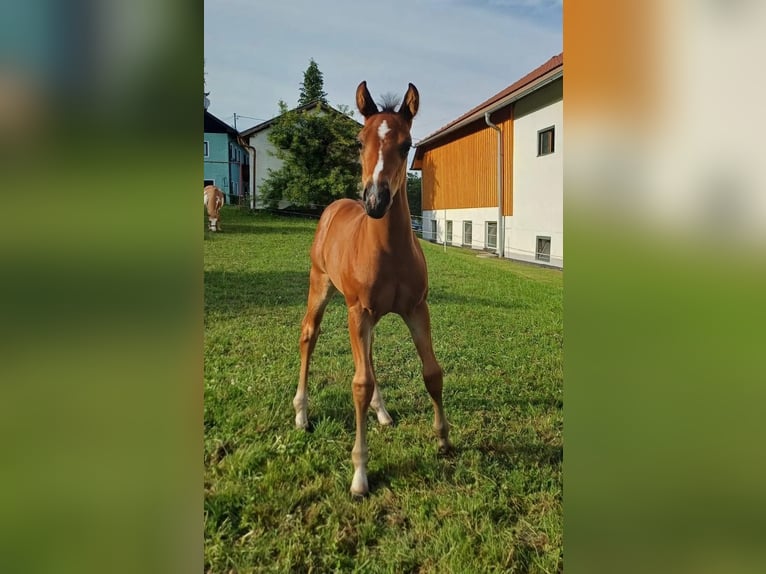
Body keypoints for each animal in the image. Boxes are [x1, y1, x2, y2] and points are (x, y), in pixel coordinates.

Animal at [293, 81, 451, 496]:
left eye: (407, 144)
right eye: (359, 141)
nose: (376, 201)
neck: (389, 251)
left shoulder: (416, 308)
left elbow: (432, 372)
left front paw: (443, 438)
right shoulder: (359, 311)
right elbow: (359, 385)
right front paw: (360, 475)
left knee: (370, 354)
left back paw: (382, 411)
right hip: (322, 285)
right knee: (309, 335)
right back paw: (301, 413)